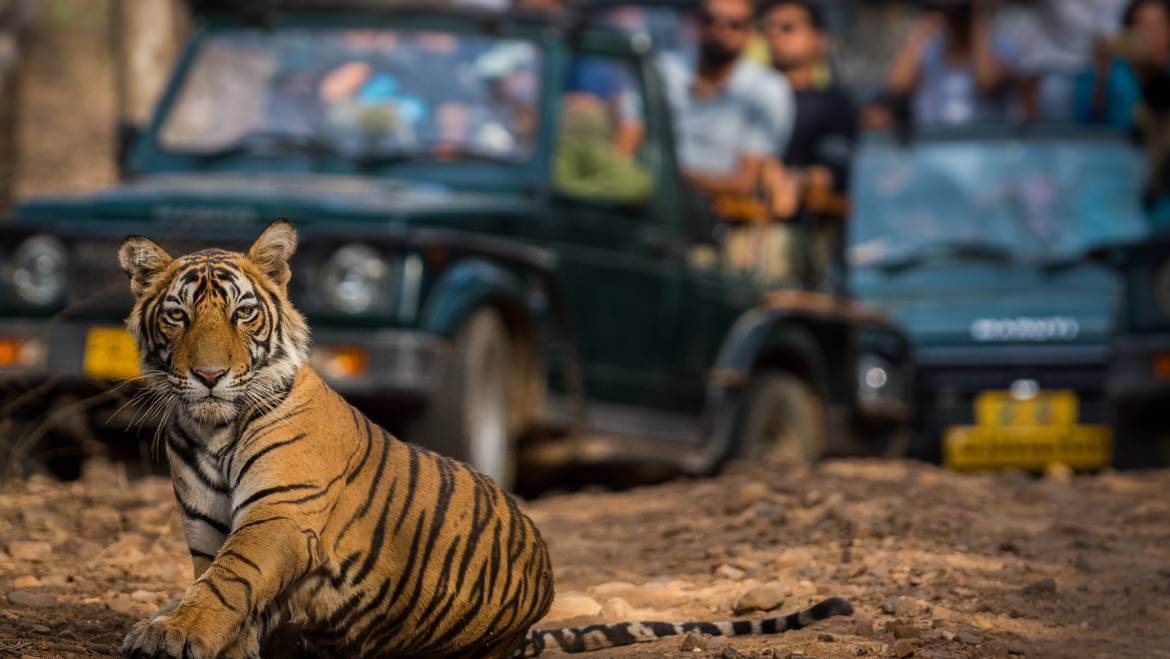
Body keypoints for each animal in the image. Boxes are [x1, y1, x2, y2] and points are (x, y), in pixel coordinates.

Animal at [116, 218, 851, 655]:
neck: (211, 428)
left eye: (243, 314)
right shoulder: (206, 526)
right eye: (178, 316)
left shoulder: (279, 515)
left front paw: (170, 631)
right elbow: (222, 587)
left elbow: (229, 582)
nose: (210, 376)